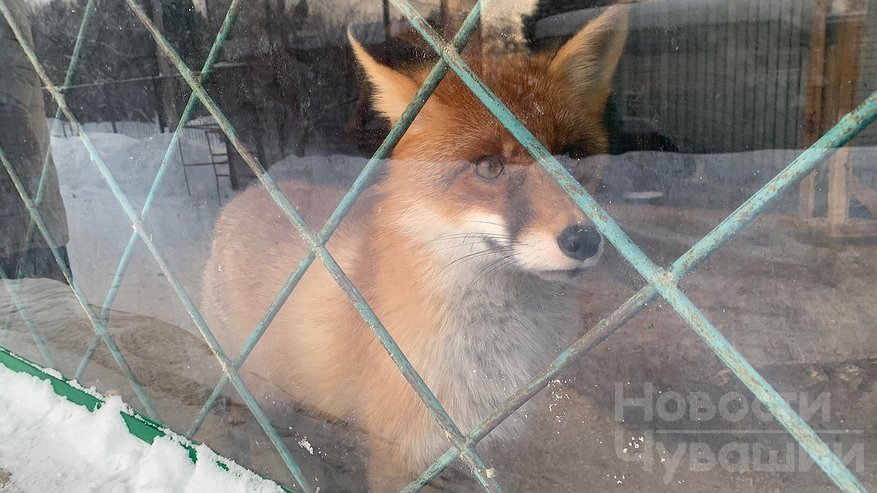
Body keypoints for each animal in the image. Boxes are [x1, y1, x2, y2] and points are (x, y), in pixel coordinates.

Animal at [204, 5, 628, 490]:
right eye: (489, 167)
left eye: (573, 157)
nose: (584, 239)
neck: (489, 362)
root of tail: (244, 194)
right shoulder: (399, 455)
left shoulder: (487, 452)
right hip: (258, 393)